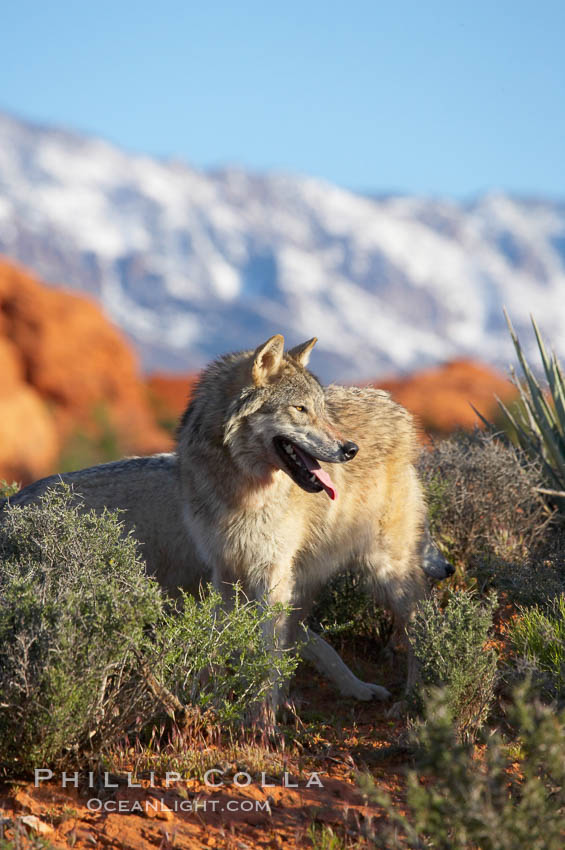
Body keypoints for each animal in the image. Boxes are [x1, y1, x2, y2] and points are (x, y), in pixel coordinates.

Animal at [0, 336, 450, 704]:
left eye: (321, 411)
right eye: (300, 409)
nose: (349, 449)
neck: (240, 489)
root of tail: (396, 408)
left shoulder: (271, 574)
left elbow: (283, 646)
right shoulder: (230, 573)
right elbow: (242, 644)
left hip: (387, 568)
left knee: (420, 626)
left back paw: (414, 696)